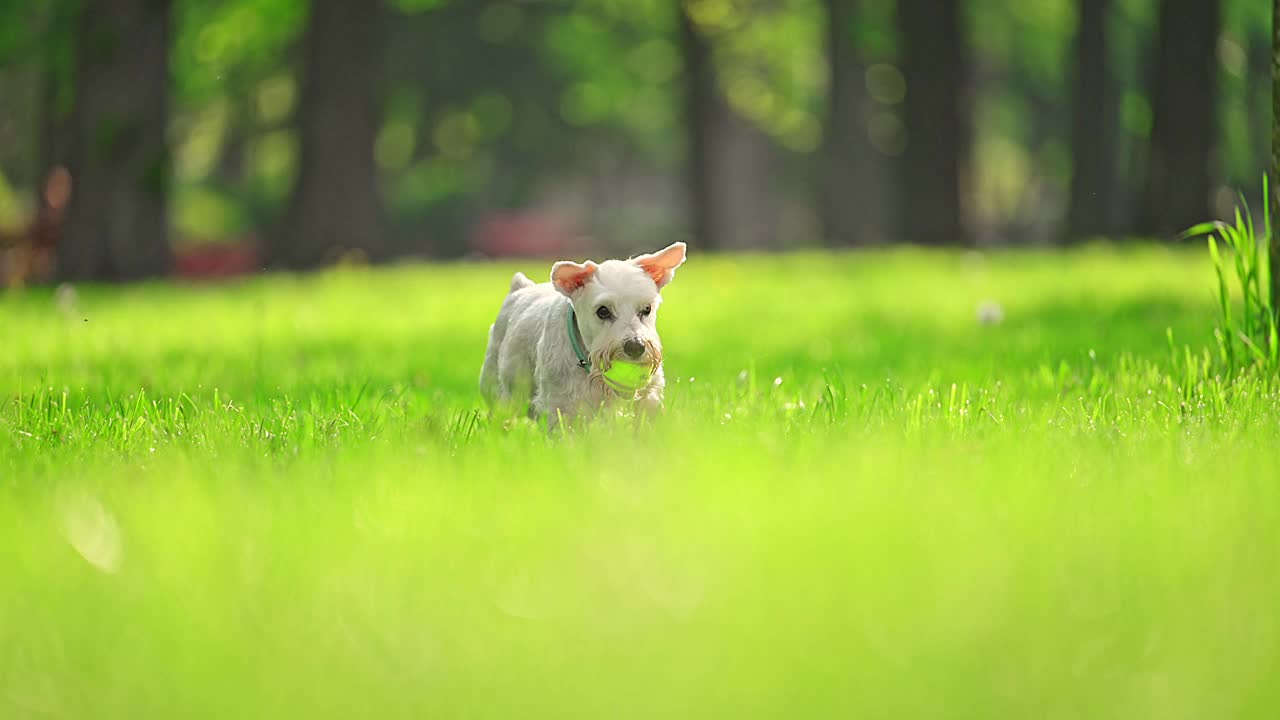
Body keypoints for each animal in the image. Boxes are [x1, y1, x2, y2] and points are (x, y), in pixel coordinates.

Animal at [481, 243, 686, 427]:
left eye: (647, 309)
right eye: (602, 311)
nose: (636, 347)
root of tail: (520, 287)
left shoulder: (649, 392)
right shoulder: (560, 403)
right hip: (499, 386)